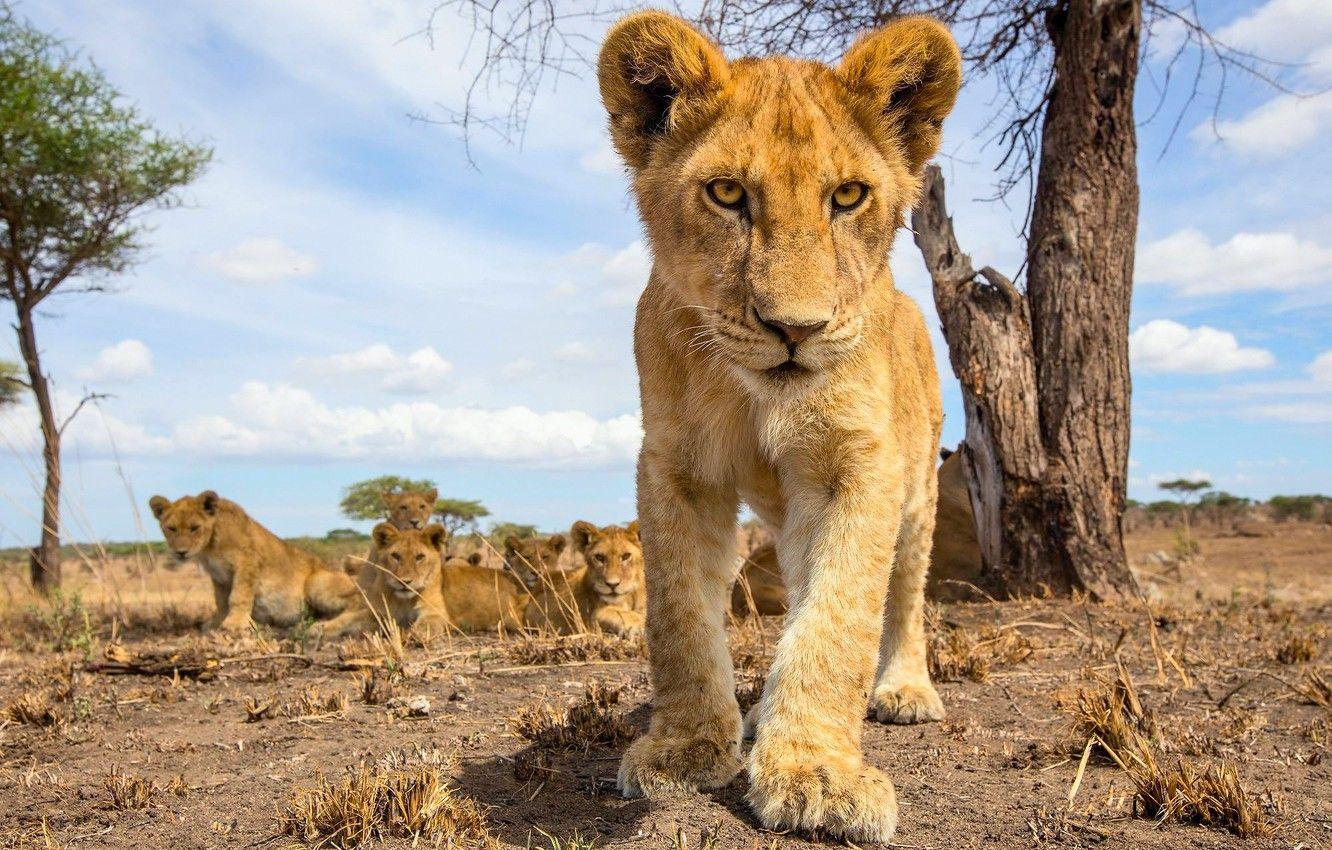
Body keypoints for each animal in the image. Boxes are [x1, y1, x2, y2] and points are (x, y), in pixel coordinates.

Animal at [149, 491, 356, 633]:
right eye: (171, 528)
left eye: (194, 528)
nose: (181, 552)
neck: (209, 548)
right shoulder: (219, 575)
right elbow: (221, 601)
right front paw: (216, 623)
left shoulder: (247, 562)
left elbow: (238, 595)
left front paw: (234, 624)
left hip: (317, 581)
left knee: (357, 603)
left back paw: (322, 625)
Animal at [598, 11, 961, 841]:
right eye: (727, 193)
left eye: (849, 196)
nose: (796, 328)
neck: (757, 397)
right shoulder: (674, 466)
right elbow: (677, 616)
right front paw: (688, 746)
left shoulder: (861, 466)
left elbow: (841, 620)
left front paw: (815, 774)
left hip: (920, 494)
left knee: (903, 596)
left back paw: (904, 689)